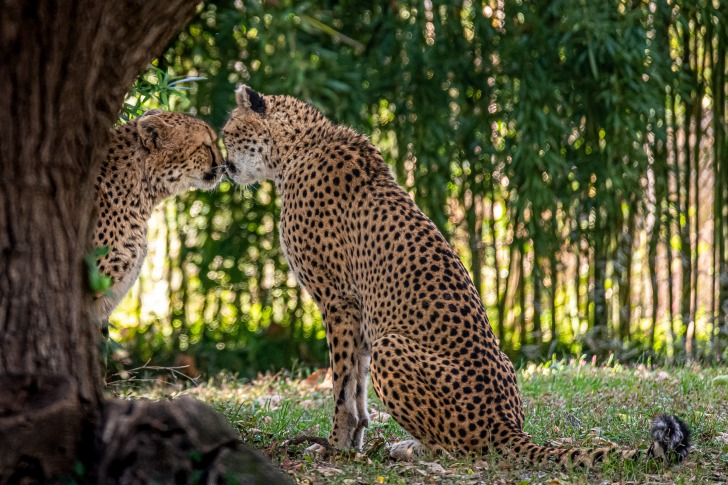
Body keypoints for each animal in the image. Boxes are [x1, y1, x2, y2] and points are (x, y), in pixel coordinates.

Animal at [225, 86, 692, 466]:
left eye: (228, 132)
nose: (224, 166)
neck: (296, 148)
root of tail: (508, 426)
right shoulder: (354, 308)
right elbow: (355, 386)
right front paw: (351, 444)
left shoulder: (339, 300)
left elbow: (344, 386)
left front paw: (337, 447)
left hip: (393, 346)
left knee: (462, 450)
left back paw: (412, 449)